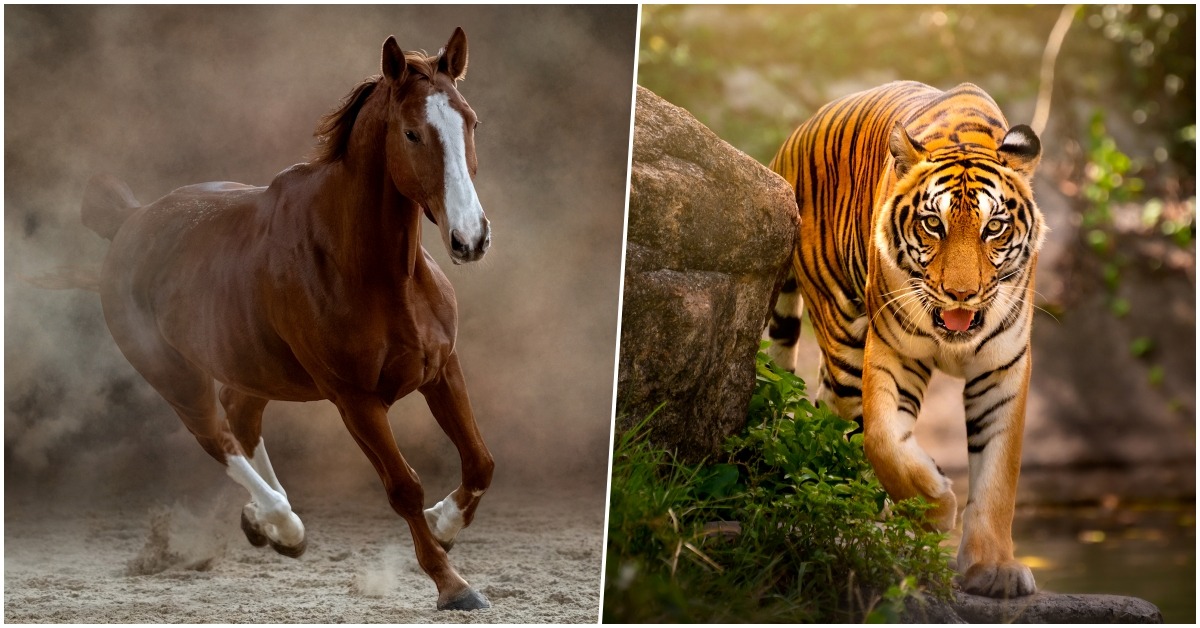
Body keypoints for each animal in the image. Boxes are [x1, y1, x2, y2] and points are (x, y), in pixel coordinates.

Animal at [80, 28, 494, 611]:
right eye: (412, 133)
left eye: (470, 121)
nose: (470, 238)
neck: (374, 272)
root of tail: (129, 221)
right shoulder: (356, 402)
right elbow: (403, 487)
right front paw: (453, 584)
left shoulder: (441, 370)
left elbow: (480, 462)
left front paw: (443, 525)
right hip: (175, 377)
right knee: (217, 437)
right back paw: (281, 522)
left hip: (251, 364)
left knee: (241, 417)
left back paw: (268, 524)